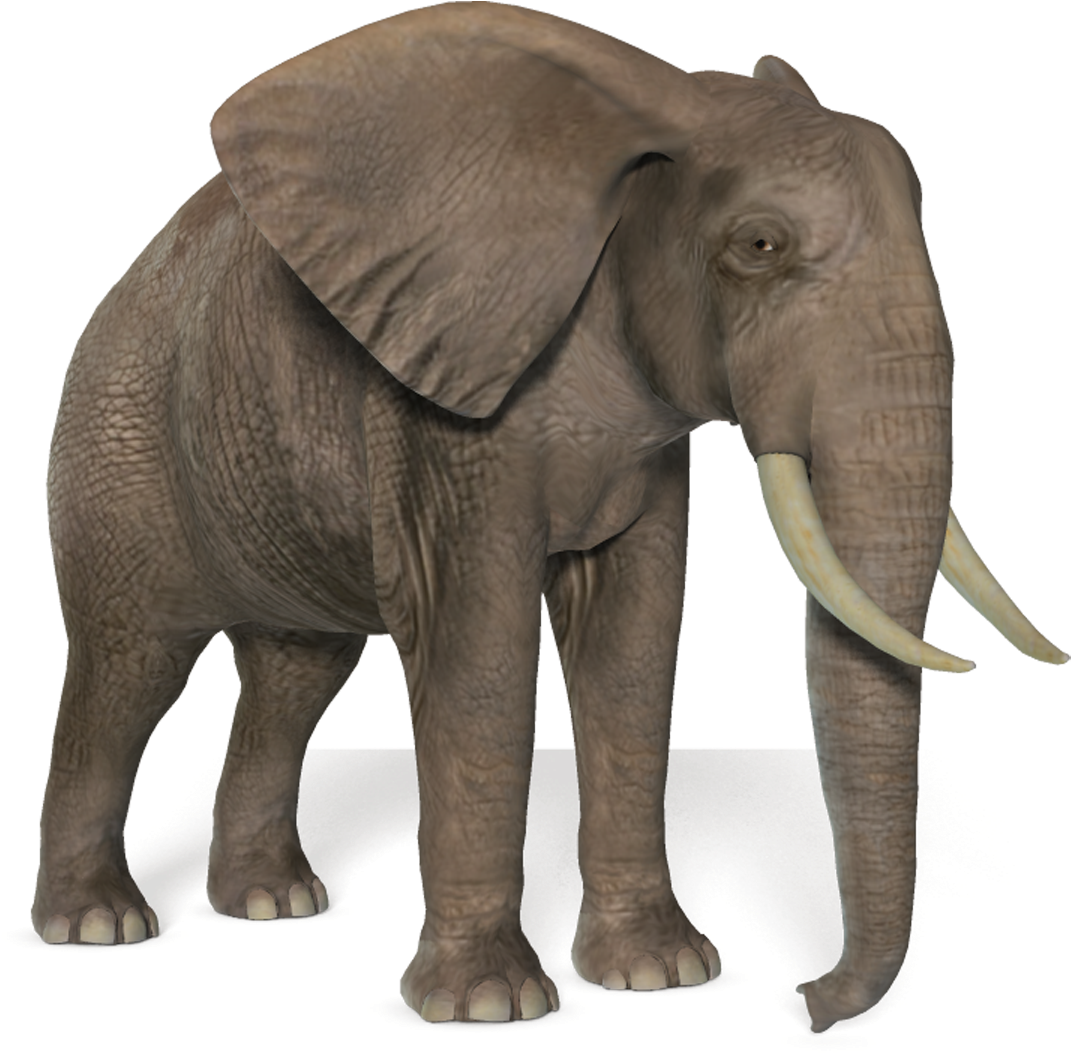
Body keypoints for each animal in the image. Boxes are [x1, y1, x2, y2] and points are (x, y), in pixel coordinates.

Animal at [38, 1, 1065, 1033]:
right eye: (760, 247)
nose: (800, 995)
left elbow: (632, 635)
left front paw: (657, 974)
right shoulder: (441, 412)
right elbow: (479, 643)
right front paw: (489, 1004)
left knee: (297, 671)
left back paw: (271, 903)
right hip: (116, 443)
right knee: (132, 664)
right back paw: (95, 926)